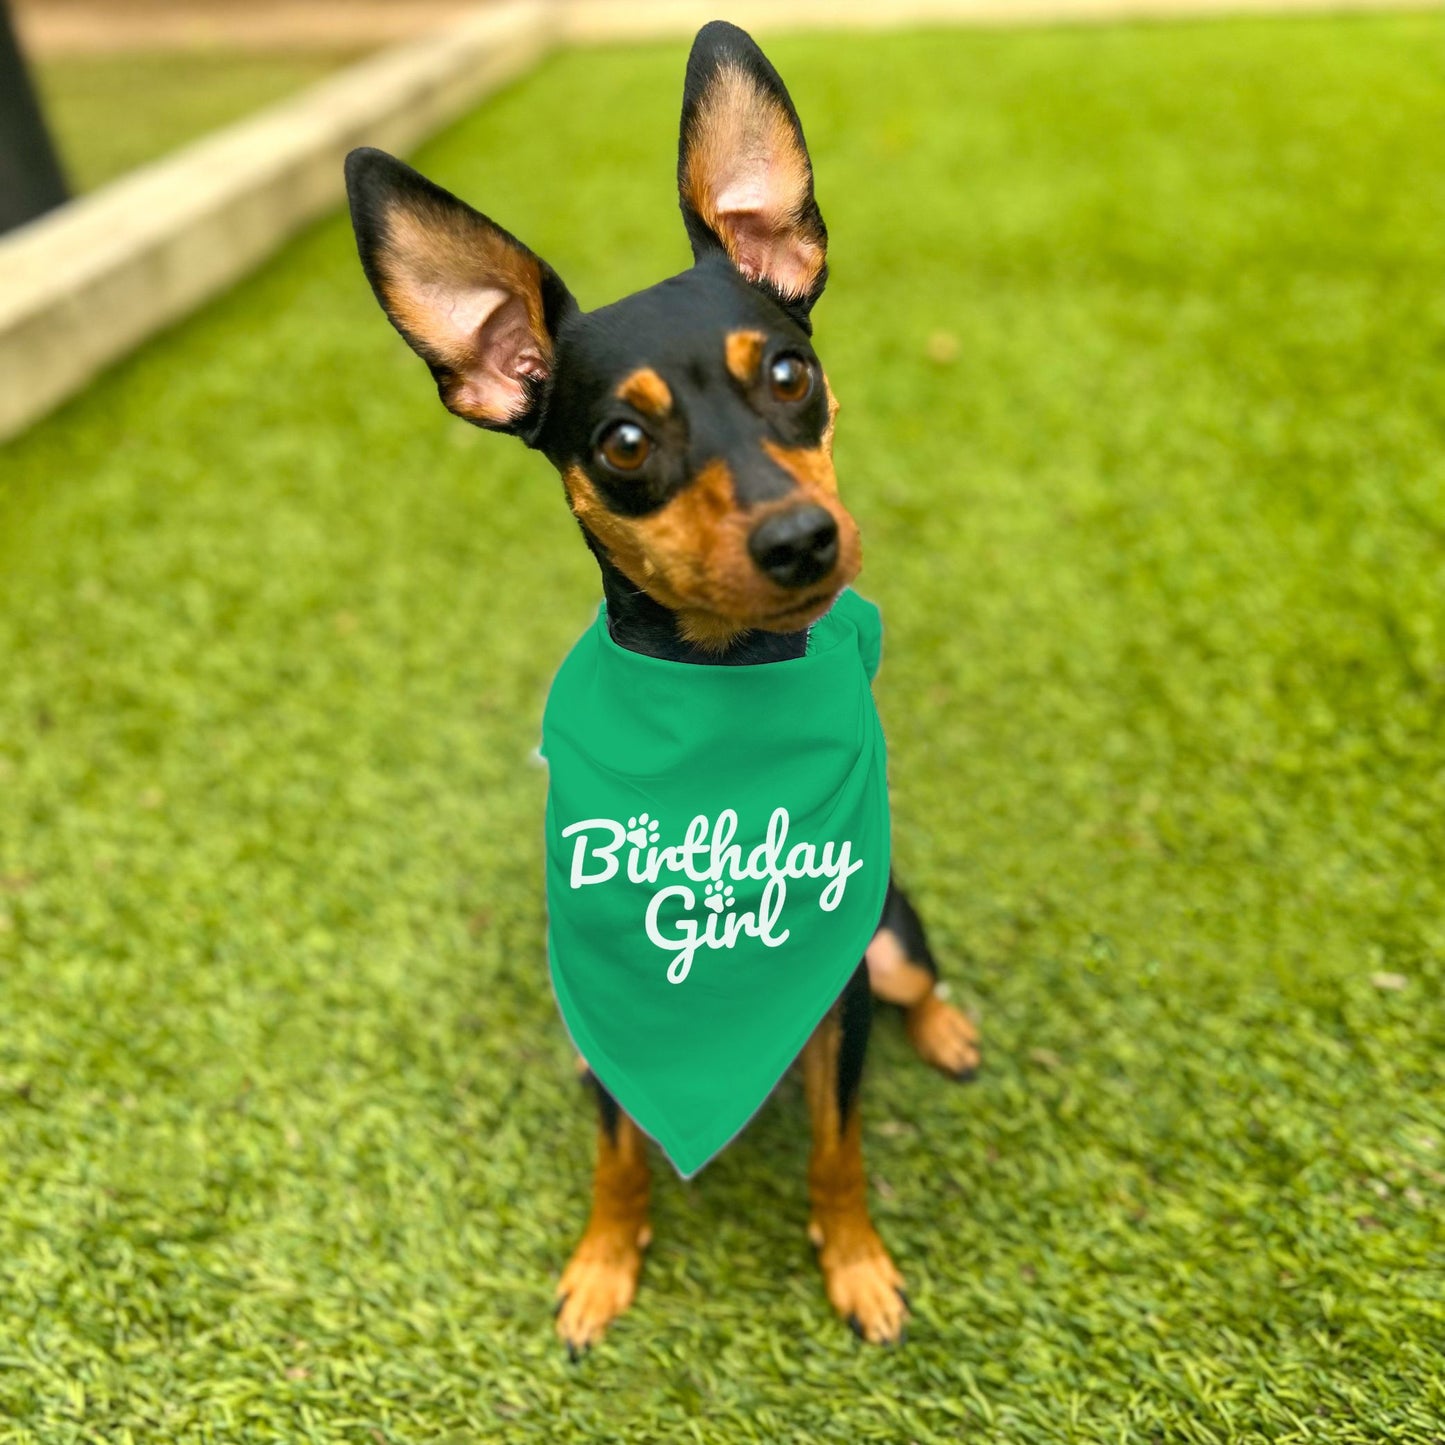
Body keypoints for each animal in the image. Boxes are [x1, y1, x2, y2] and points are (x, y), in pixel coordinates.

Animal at [343, 16, 982, 1346]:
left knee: (916, 972)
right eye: (623, 443)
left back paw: (949, 1027)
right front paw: (601, 1261)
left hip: (884, 931)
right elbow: (617, 1155)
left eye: (789, 373)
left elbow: (837, 1149)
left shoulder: (836, 1000)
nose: (801, 540)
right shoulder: (600, 1007)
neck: (718, 690)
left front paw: (854, 1260)